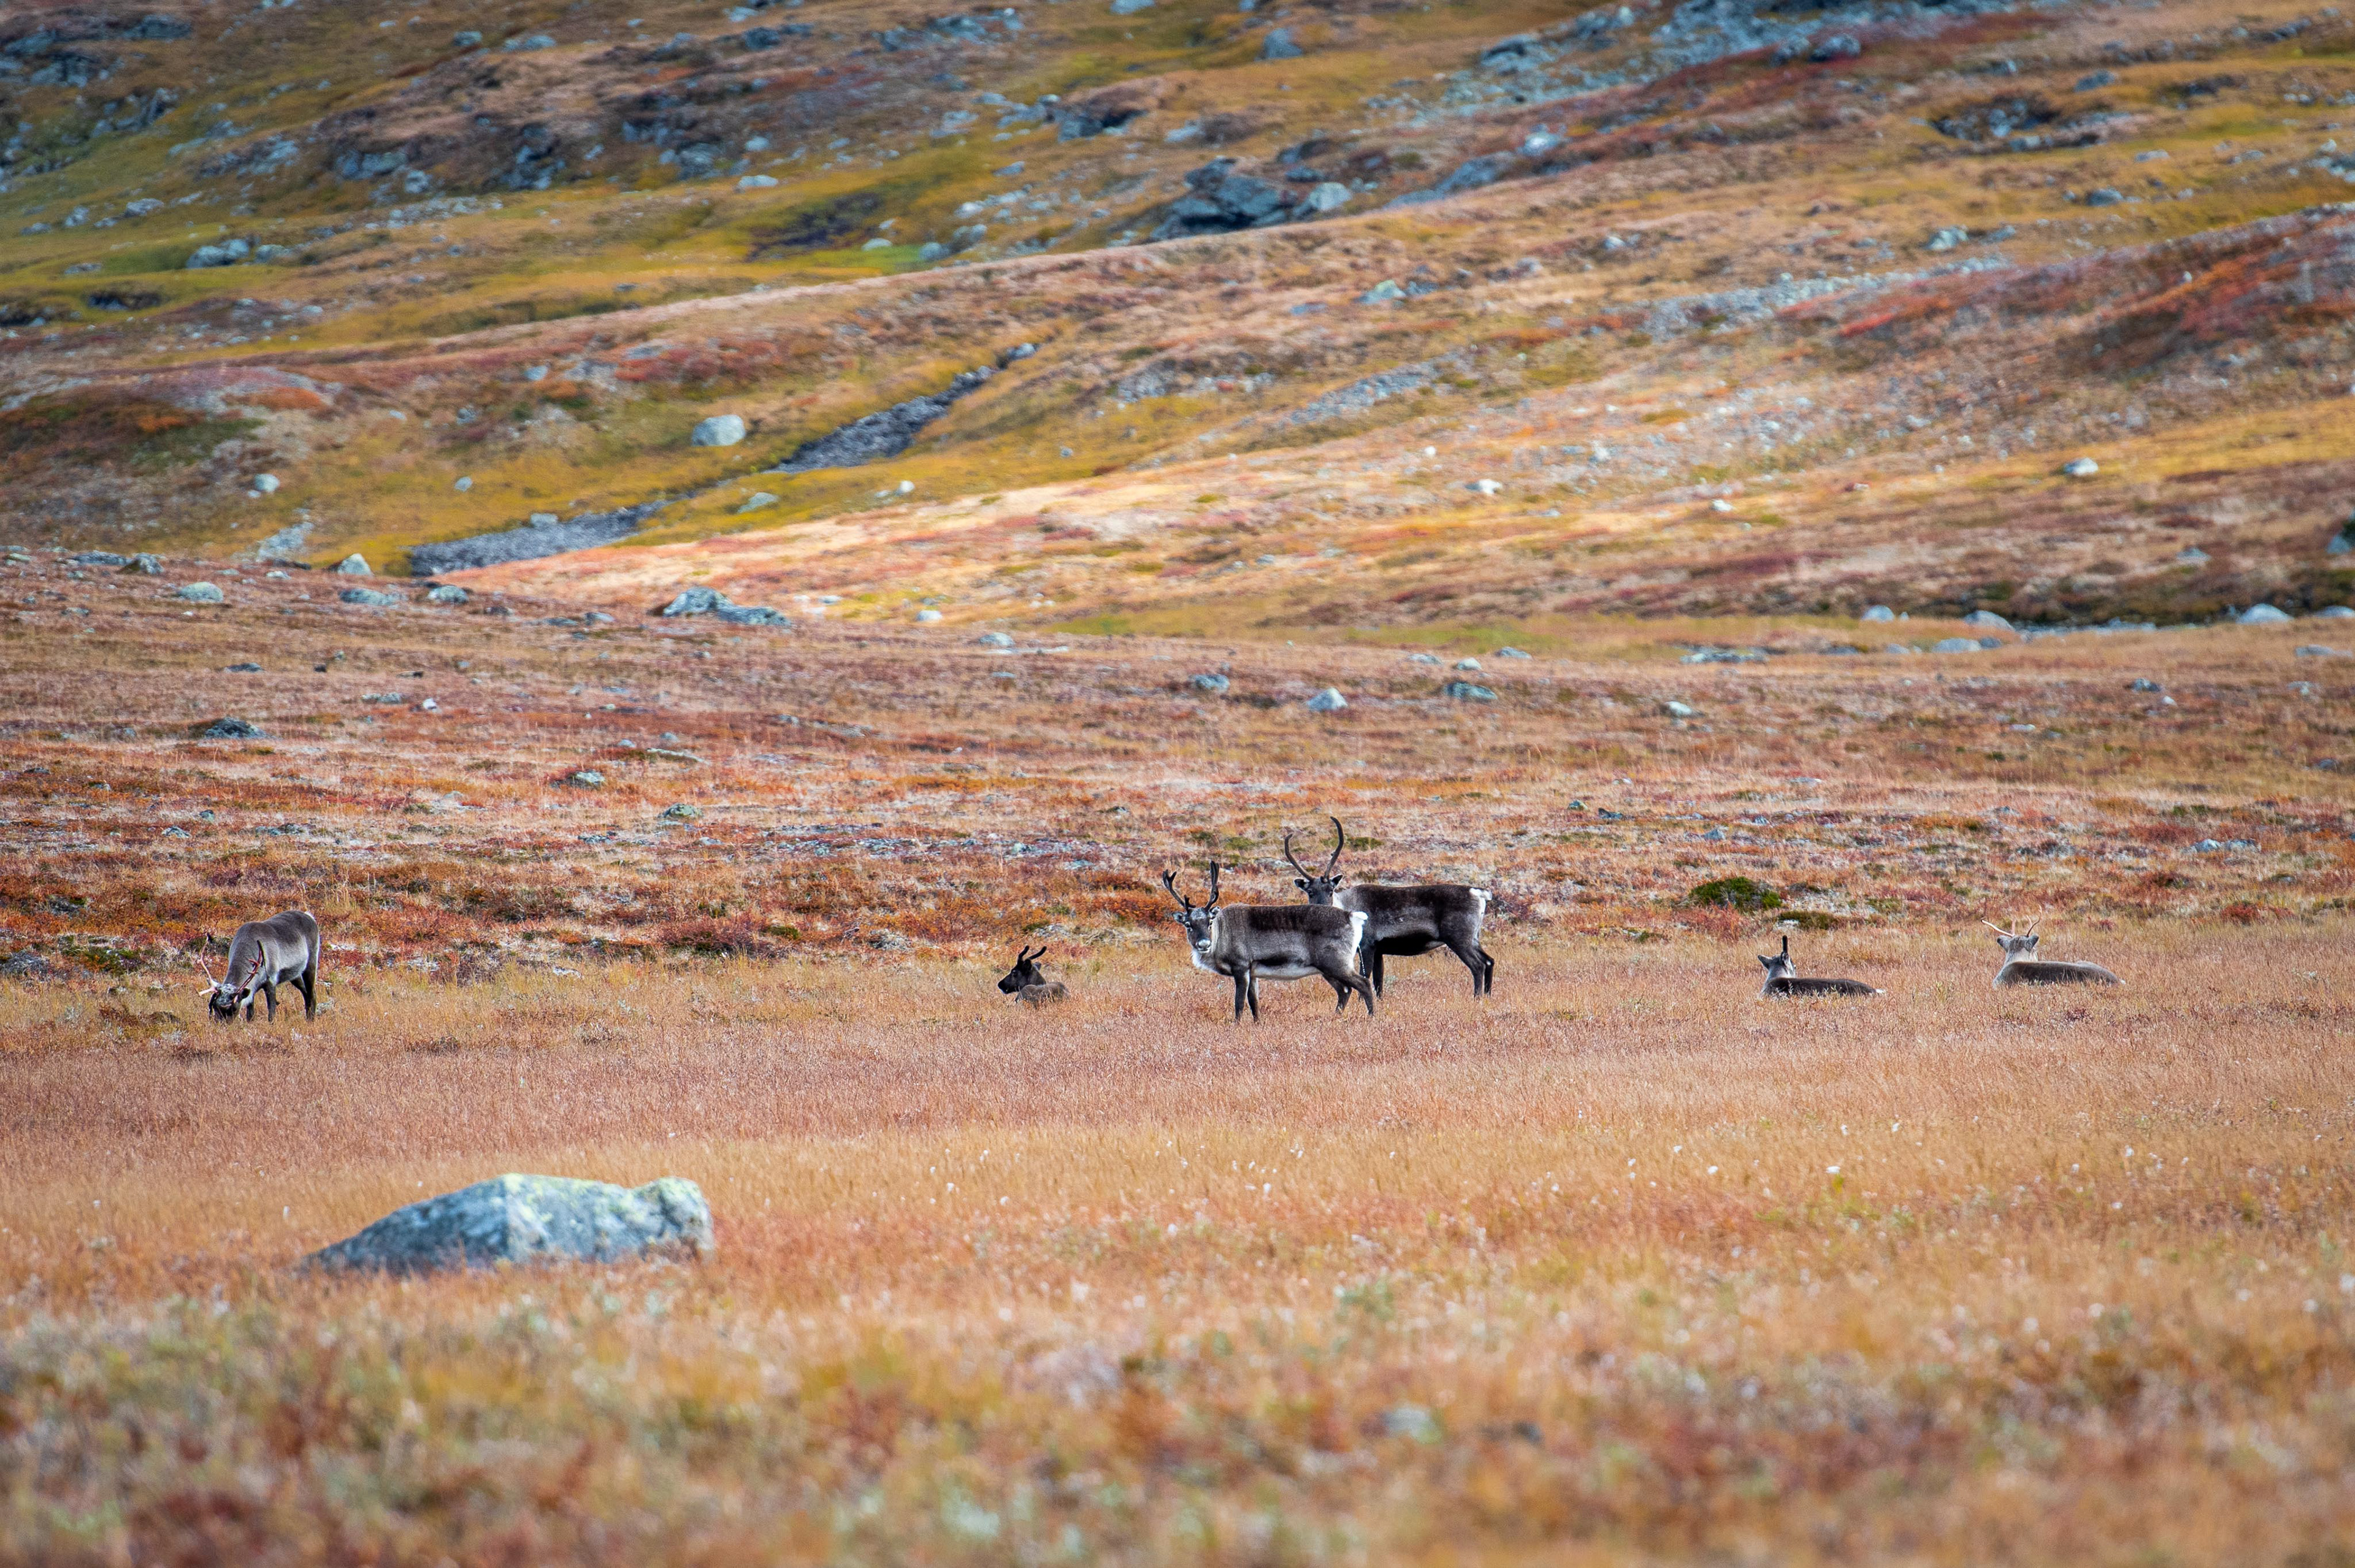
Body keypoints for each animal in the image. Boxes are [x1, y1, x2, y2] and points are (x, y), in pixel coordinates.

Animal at [194, 910, 321, 1023]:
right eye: (215, 1006)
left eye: (234, 1009)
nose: (221, 1024)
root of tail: (310, 916)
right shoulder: (252, 987)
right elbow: (250, 1014)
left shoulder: (271, 979)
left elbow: (271, 1012)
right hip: (295, 975)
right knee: (305, 993)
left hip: (311, 963)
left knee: (312, 993)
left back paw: (311, 1020)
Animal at [1162, 864, 1375, 1022]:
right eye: (1188, 925)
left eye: (1209, 922)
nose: (1204, 944)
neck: (1222, 934)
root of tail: (1351, 916)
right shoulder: (1253, 972)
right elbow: (1254, 1002)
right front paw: (1258, 1023)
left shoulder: (1241, 967)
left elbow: (1239, 1002)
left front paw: (1237, 1025)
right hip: (1326, 969)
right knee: (1345, 990)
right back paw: (1335, 1017)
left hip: (1336, 963)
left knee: (1363, 983)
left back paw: (1372, 1016)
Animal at [1283, 816, 1494, 997]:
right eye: (1310, 892)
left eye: (1331, 890)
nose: (1323, 909)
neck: (1348, 904)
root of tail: (1478, 893)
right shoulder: (1379, 951)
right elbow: (1379, 984)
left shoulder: (1367, 946)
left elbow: (1367, 977)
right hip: (1473, 937)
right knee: (1489, 961)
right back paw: (1487, 995)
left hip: (1458, 938)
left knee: (1478, 965)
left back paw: (1476, 997)